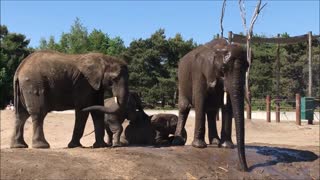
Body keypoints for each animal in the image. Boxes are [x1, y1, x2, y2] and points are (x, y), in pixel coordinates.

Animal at [172, 38, 250, 171]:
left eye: (247, 67)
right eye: (223, 68)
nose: (244, 168)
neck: (221, 48)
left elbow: (227, 105)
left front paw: (227, 146)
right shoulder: (199, 72)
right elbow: (200, 100)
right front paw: (199, 146)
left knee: (211, 111)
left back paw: (215, 142)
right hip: (181, 80)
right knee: (184, 107)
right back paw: (178, 141)